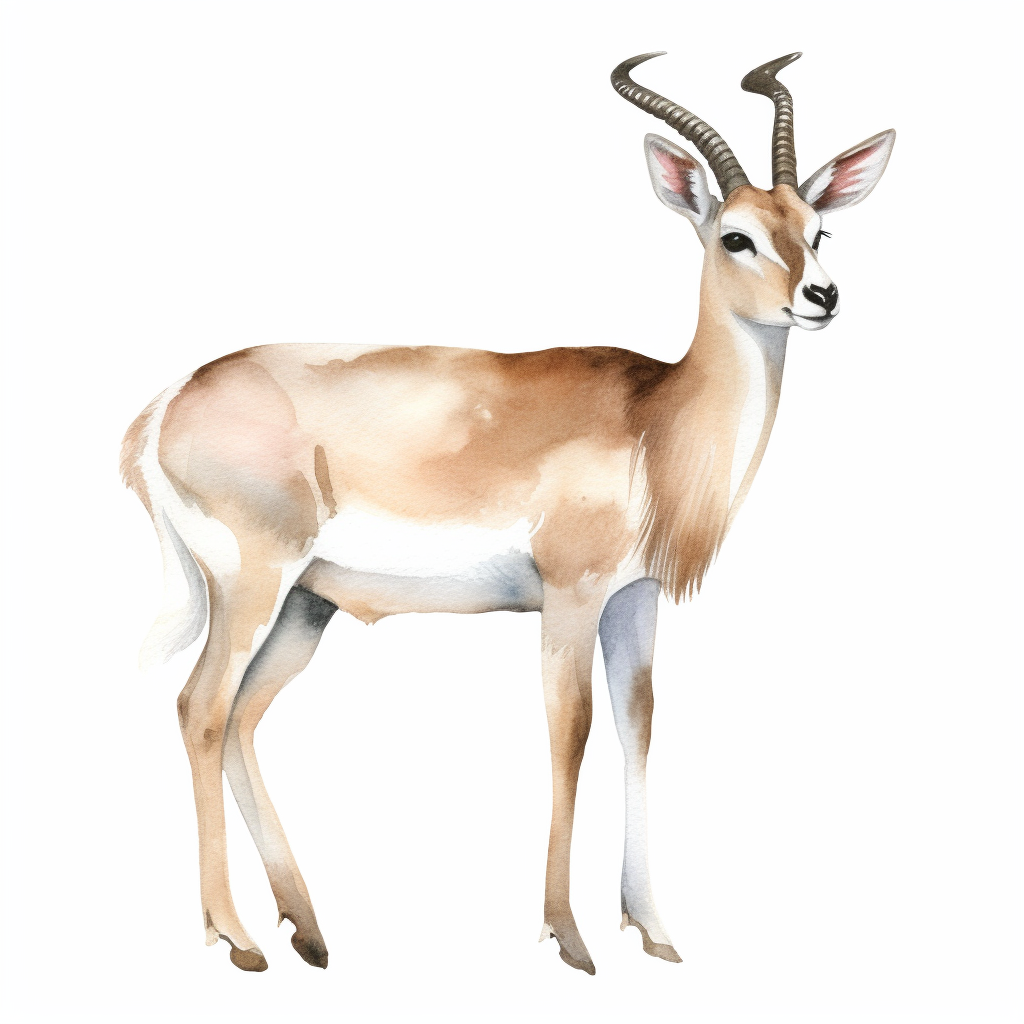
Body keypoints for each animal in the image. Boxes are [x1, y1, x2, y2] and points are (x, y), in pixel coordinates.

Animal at [121, 52, 894, 975]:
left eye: (817, 229)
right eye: (734, 235)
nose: (822, 295)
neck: (655, 418)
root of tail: (168, 402)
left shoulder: (633, 600)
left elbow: (638, 723)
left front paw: (656, 930)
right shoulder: (569, 595)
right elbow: (573, 731)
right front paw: (571, 936)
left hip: (306, 605)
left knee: (241, 717)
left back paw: (307, 929)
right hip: (254, 585)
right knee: (200, 709)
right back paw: (238, 938)